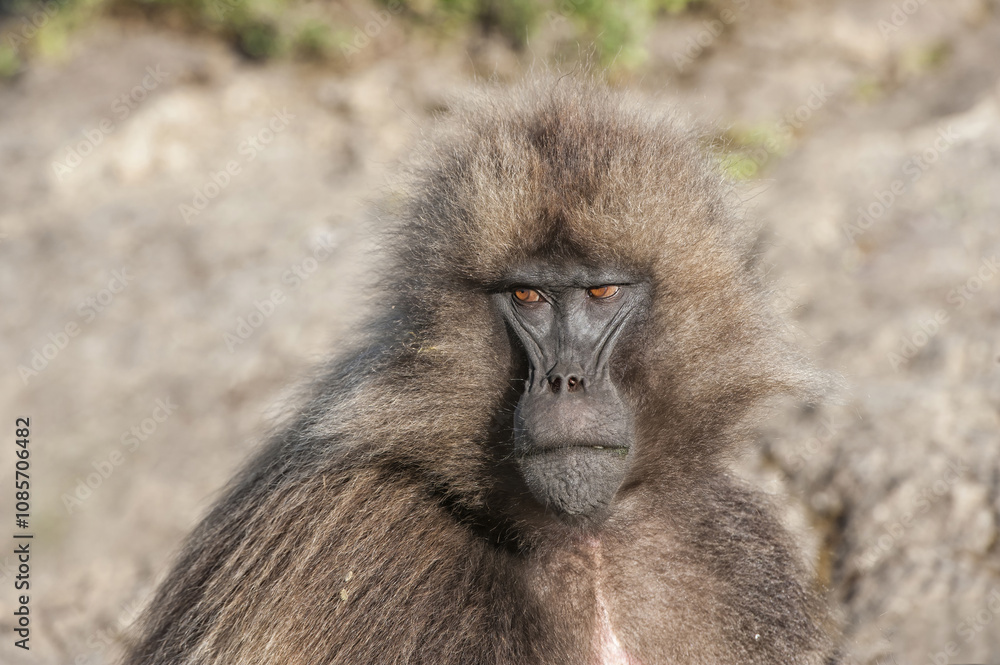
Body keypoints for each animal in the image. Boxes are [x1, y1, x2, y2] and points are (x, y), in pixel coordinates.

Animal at [122, 78, 840, 665]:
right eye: (527, 296)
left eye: (602, 292)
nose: (564, 382)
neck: (585, 544)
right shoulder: (348, 549)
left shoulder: (731, 548)